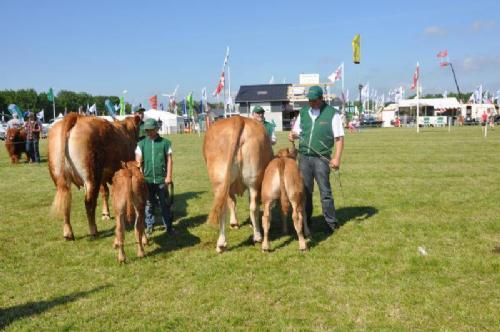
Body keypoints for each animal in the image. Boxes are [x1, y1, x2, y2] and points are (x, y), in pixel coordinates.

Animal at [203, 115, 274, 253]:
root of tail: (238, 118)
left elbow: (232, 202)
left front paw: (234, 223)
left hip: (221, 183)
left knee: (224, 208)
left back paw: (221, 243)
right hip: (253, 181)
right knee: (253, 207)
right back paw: (257, 236)